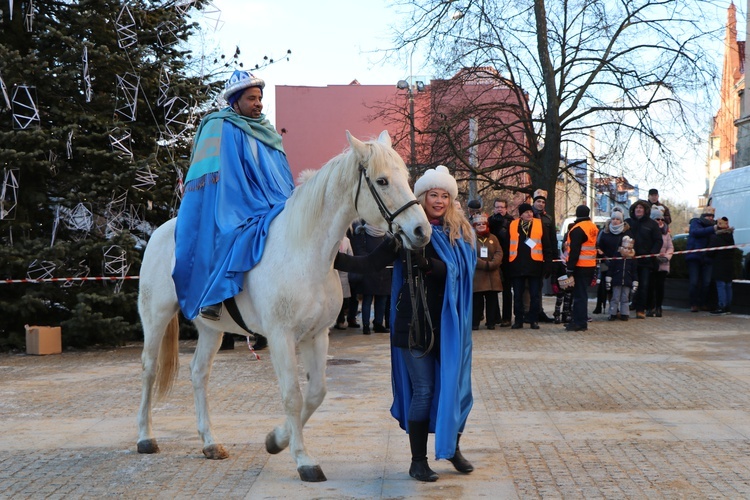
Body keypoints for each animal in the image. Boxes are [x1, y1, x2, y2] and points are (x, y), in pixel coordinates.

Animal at [135, 130, 428, 480]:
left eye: (407, 177)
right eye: (382, 181)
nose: (421, 231)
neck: (305, 253)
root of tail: (161, 232)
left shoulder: (317, 335)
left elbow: (315, 394)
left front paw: (276, 440)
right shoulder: (280, 336)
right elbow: (292, 396)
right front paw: (303, 459)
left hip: (211, 330)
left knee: (198, 373)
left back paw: (209, 442)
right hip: (156, 317)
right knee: (149, 369)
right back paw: (145, 437)